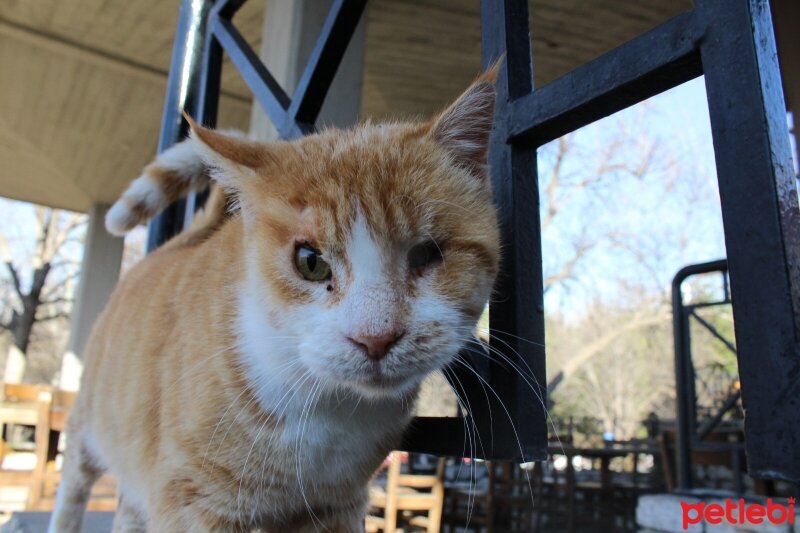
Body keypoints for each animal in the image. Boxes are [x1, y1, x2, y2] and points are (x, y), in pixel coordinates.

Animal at [48, 67, 500, 532]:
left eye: (426, 254)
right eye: (310, 262)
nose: (375, 337)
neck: (326, 407)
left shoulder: (335, 506)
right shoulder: (190, 499)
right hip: (88, 432)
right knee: (73, 488)